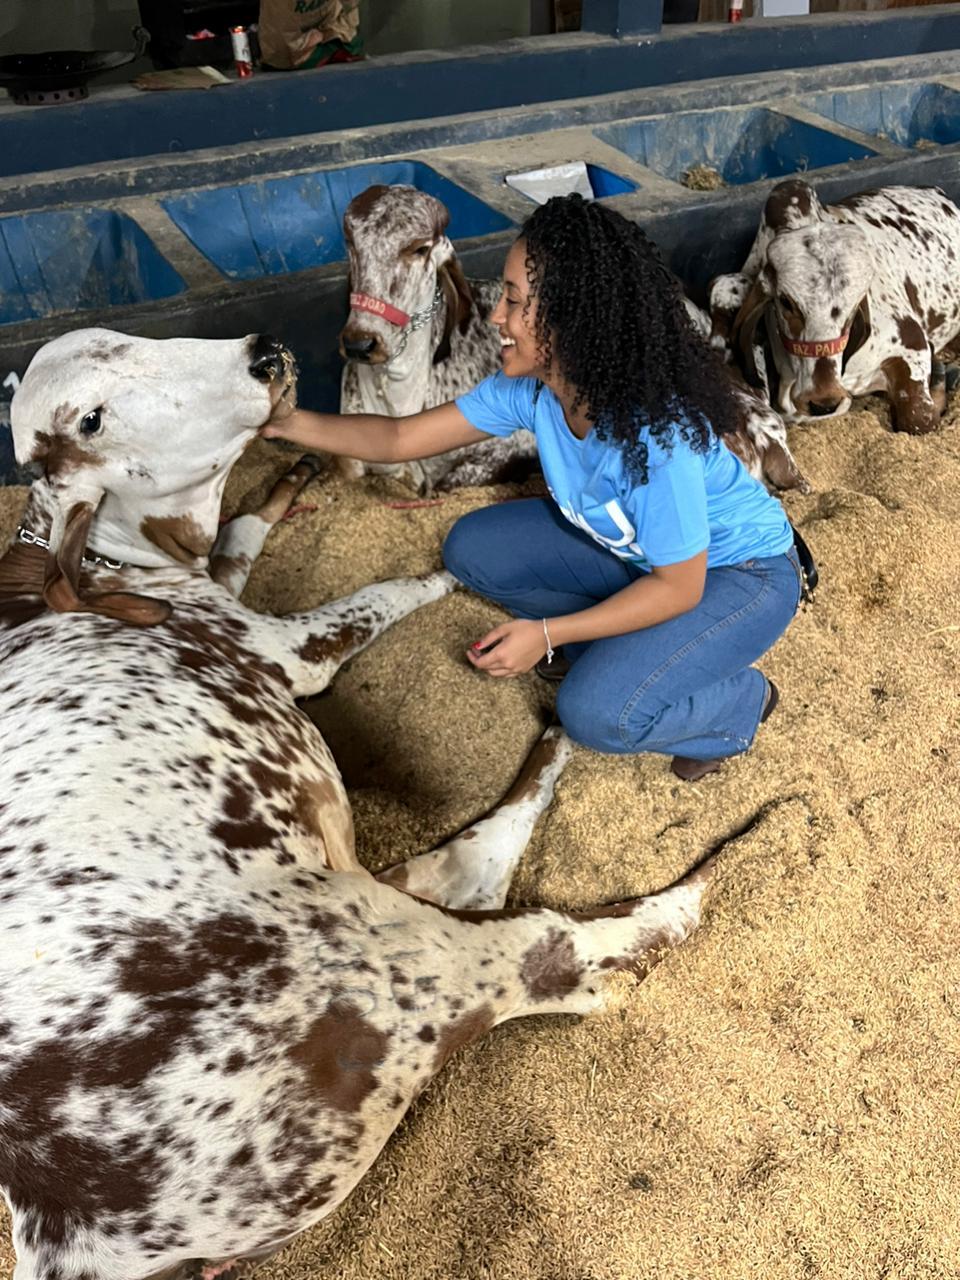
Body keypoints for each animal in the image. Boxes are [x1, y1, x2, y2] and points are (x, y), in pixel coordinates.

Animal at [0, 327, 716, 1280]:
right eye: (89, 417)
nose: (264, 353)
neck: (121, 565)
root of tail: (60, 1216)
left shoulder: (226, 582)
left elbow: (243, 532)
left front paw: (294, 476)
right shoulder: (282, 649)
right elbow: (387, 592)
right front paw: (448, 574)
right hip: (386, 969)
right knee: (550, 935)